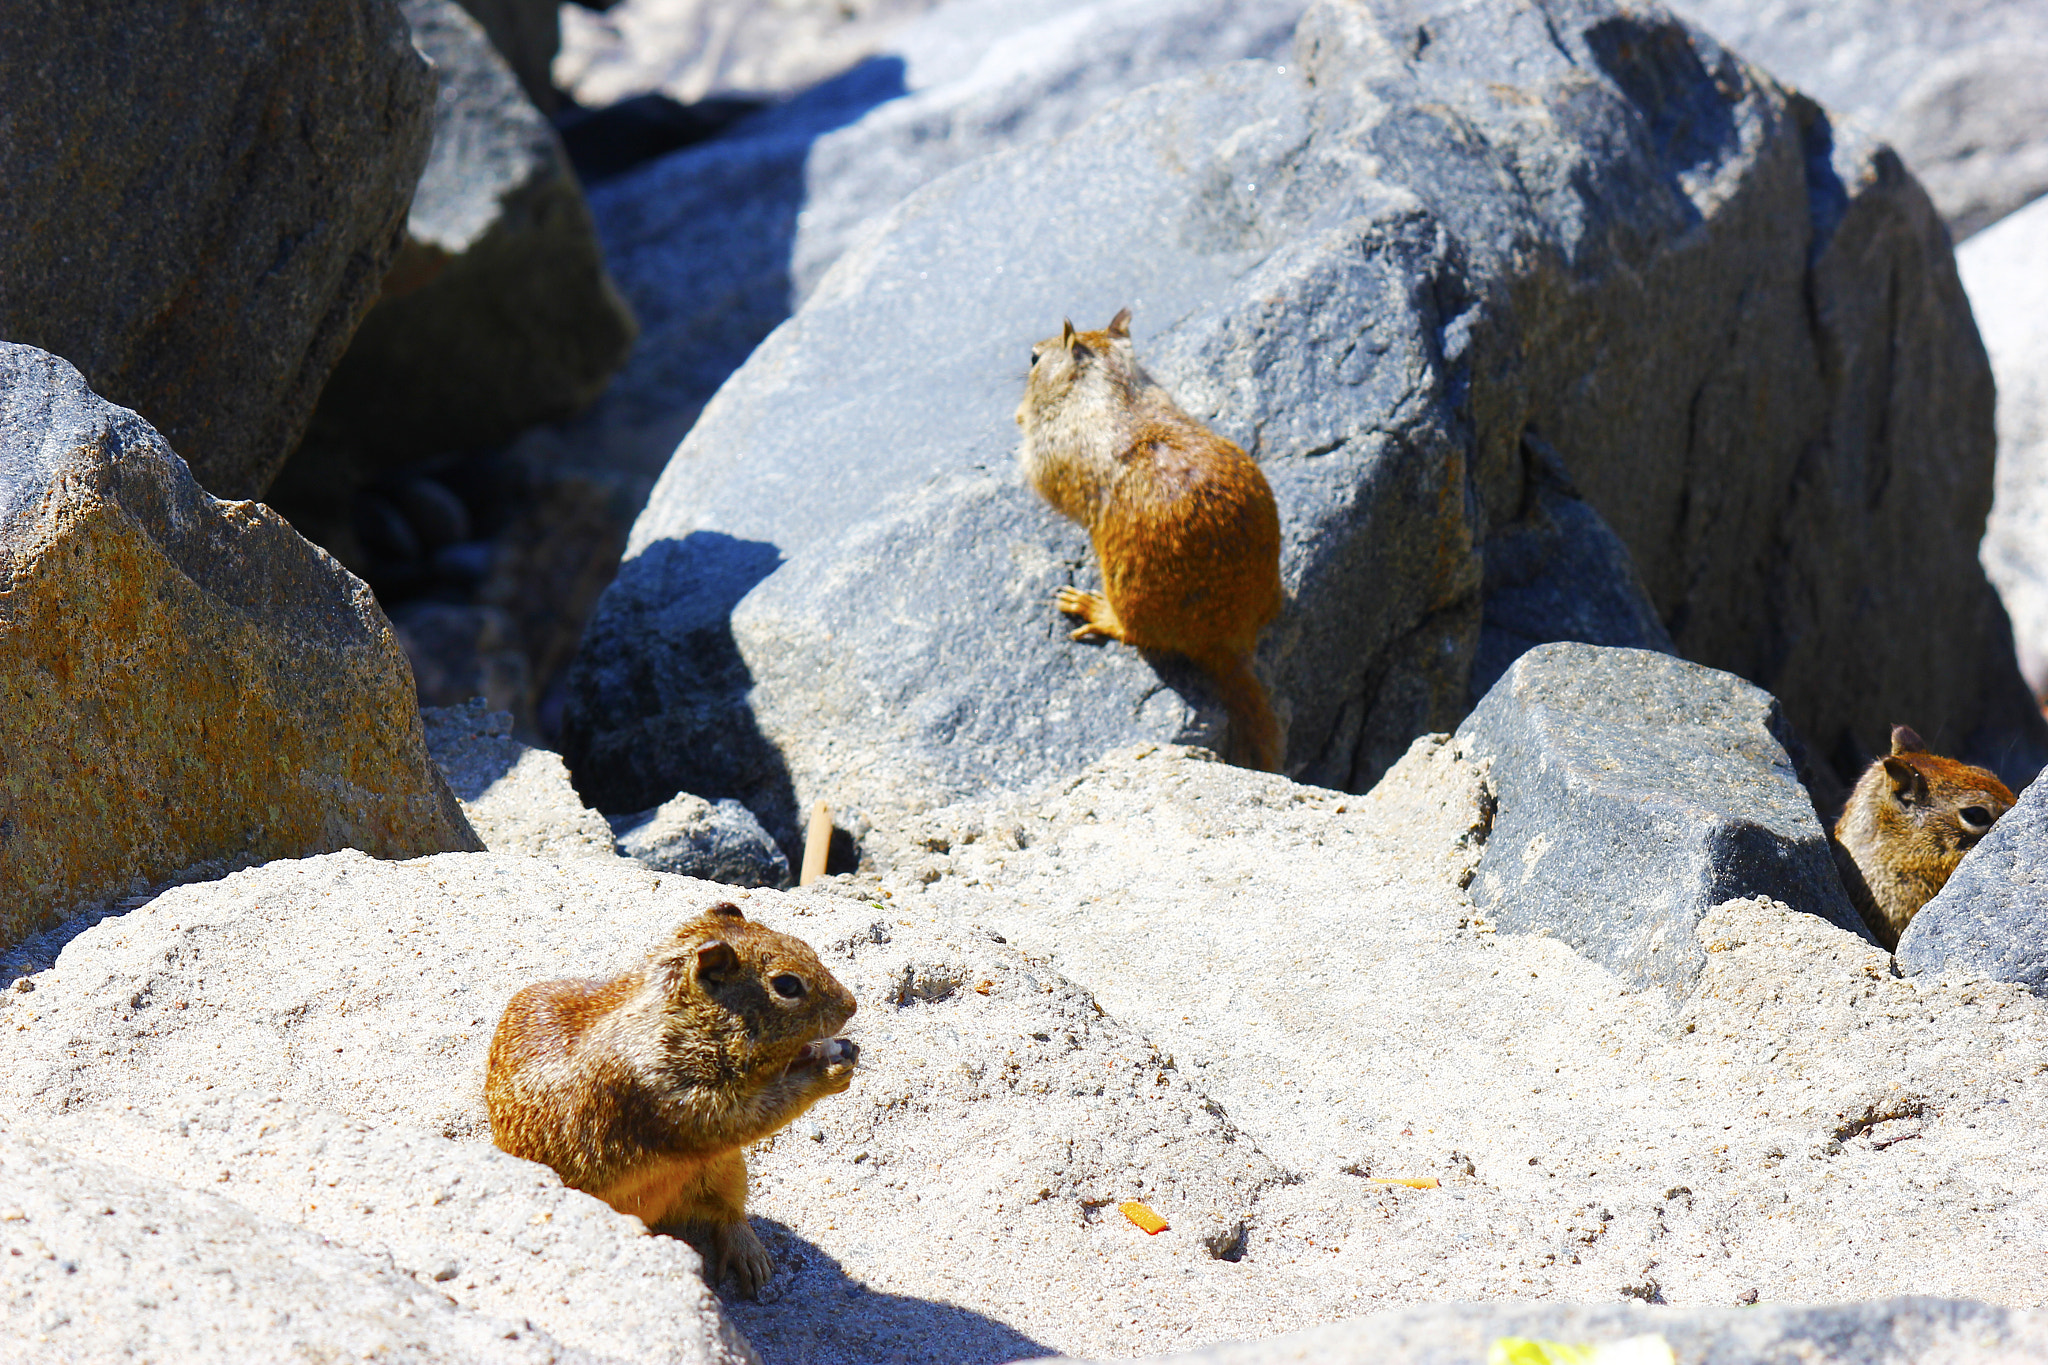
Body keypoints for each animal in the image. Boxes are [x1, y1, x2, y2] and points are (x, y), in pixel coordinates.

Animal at [485, 900, 858, 1297]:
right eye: (786, 985)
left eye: (803, 944)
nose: (851, 1005)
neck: (680, 1021)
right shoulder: (677, 1101)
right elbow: (751, 1115)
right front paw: (828, 1072)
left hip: (726, 1170)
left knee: (729, 1213)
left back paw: (749, 1255)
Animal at [1015, 307, 1285, 771]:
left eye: (1035, 357)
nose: (1028, 354)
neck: (1113, 385)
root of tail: (1227, 640)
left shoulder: (1049, 446)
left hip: (1129, 592)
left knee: (1134, 635)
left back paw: (1093, 608)